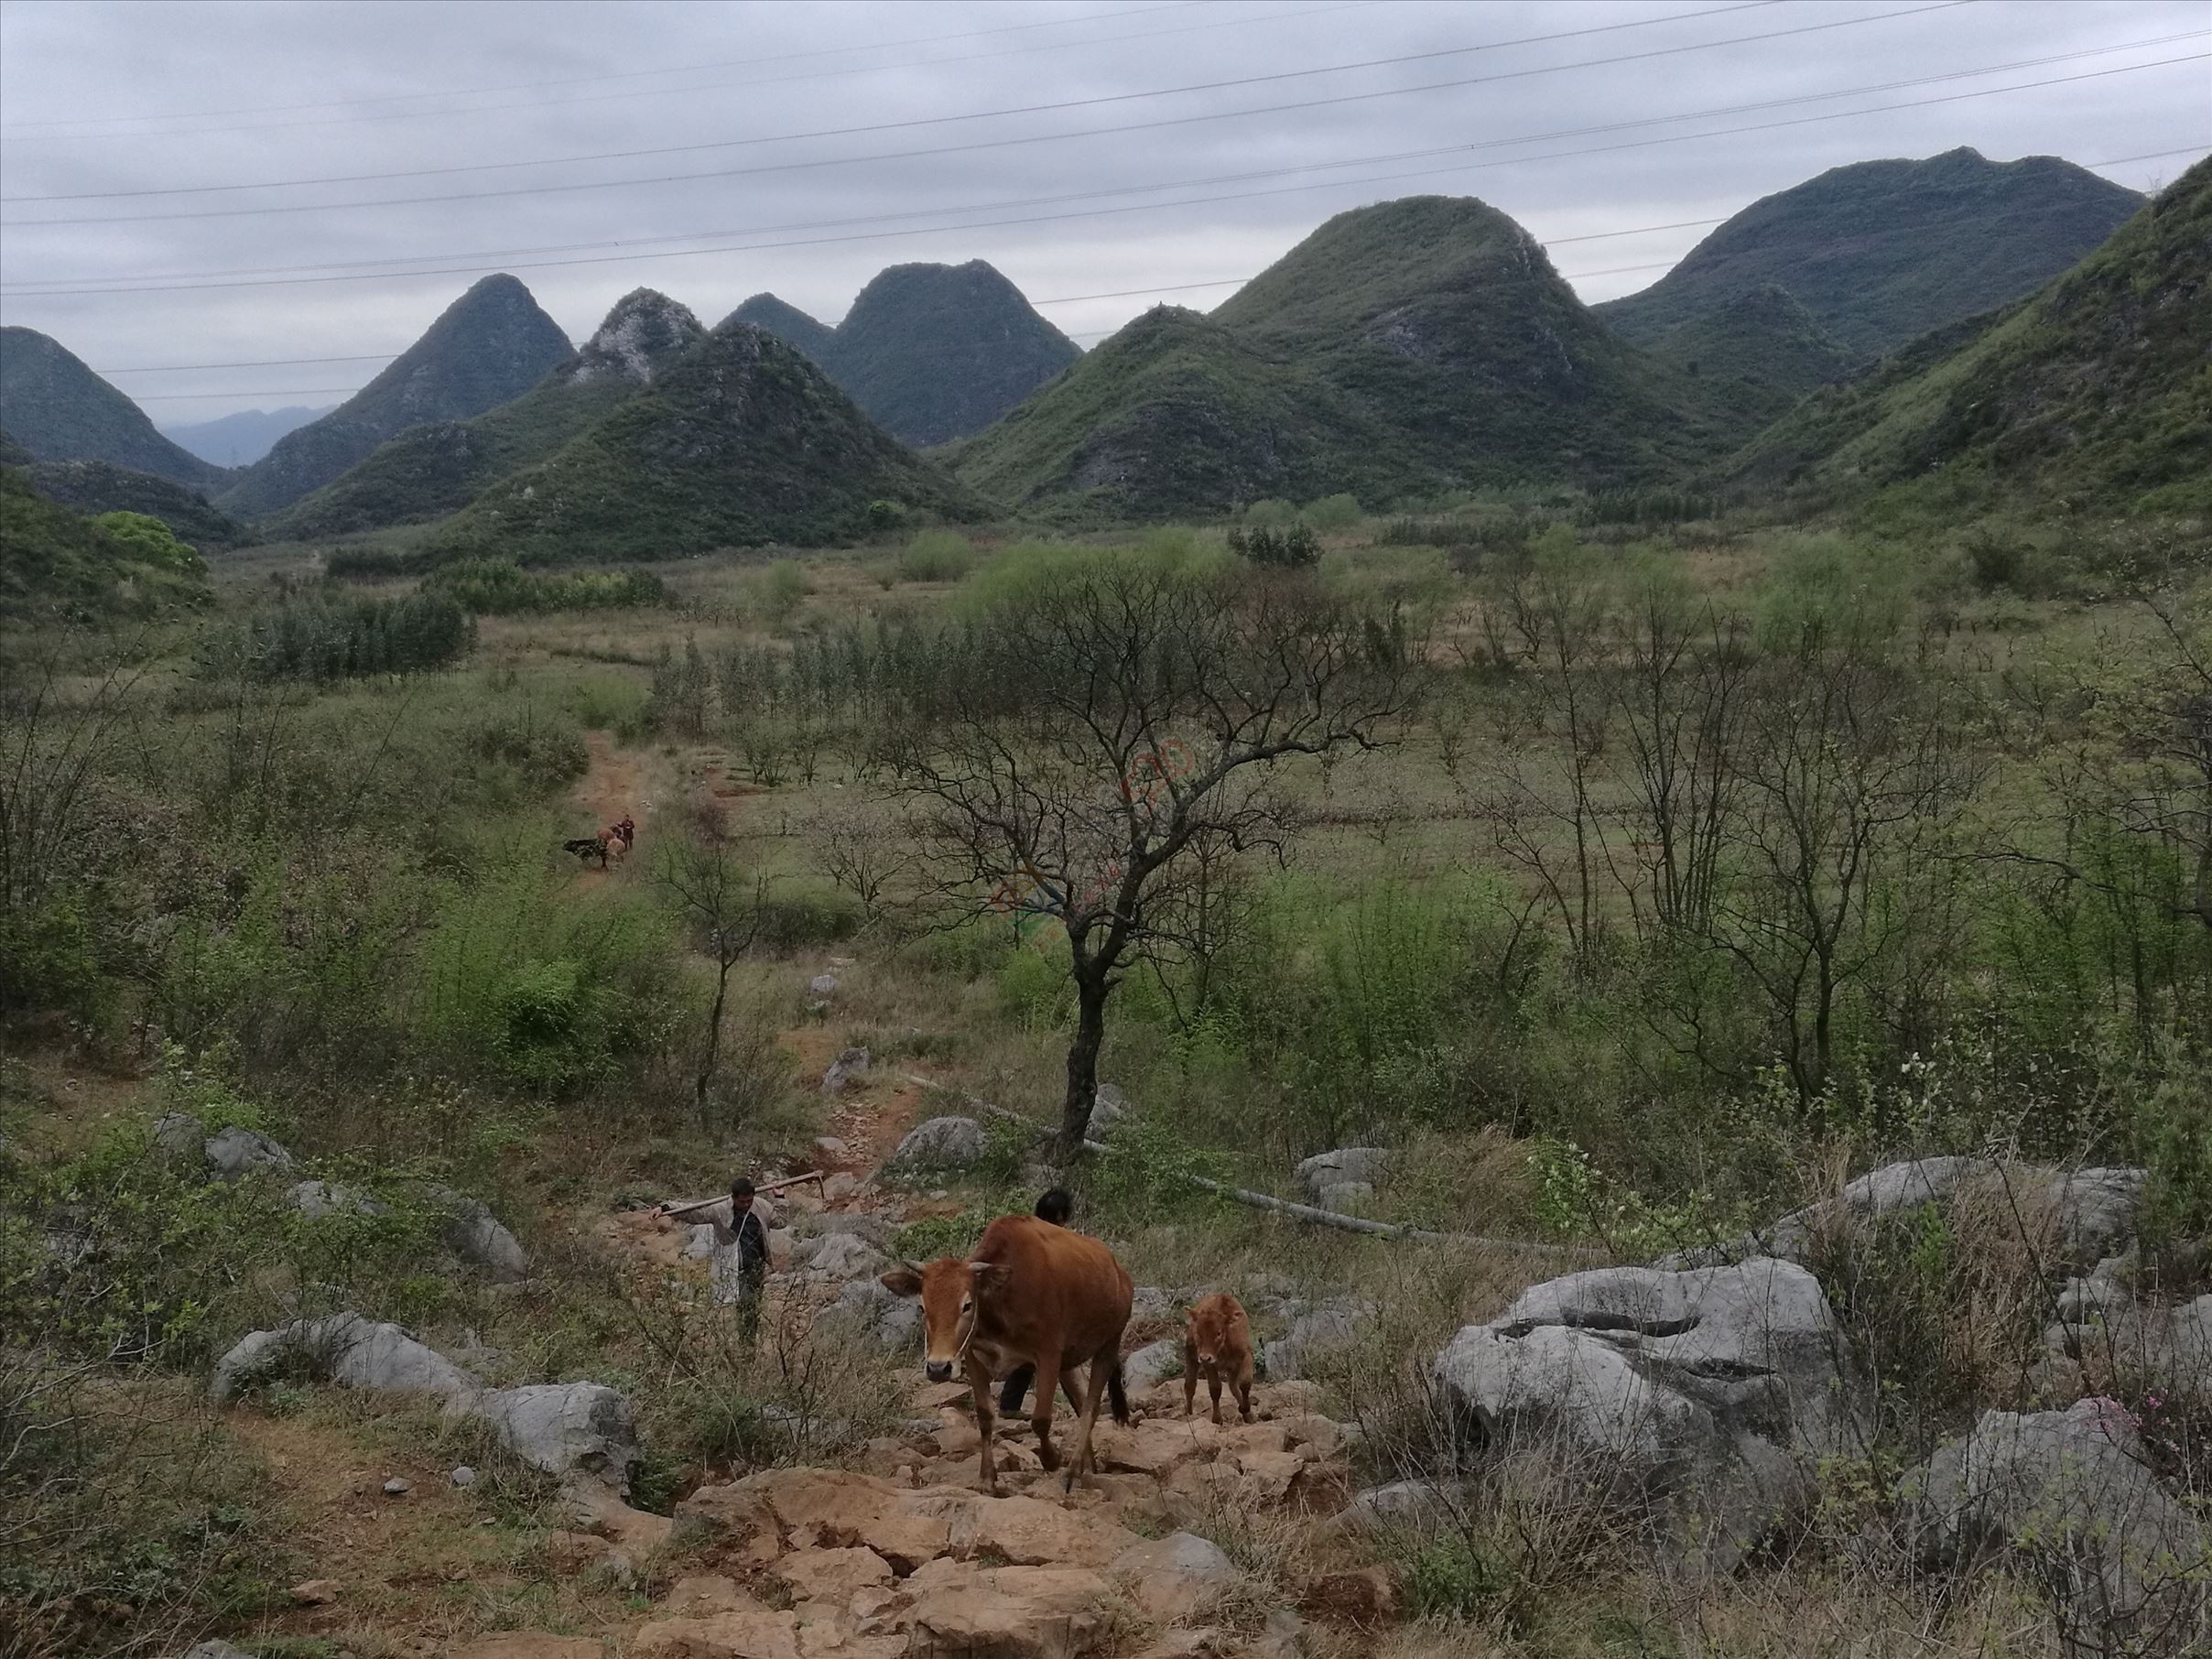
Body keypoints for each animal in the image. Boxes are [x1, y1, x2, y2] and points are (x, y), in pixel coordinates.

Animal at [875, 1211, 1132, 1503]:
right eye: (922, 1307)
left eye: (967, 1305)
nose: (938, 1368)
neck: (1002, 1299)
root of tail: (1119, 1273)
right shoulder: (973, 1356)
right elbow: (985, 1417)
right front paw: (987, 1479)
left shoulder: (1048, 1356)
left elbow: (1041, 1419)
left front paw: (1052, 1459)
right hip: (1070, 1362)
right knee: (1080, 1401)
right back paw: (1087, 1466)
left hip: (1108, 1346)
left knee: (1091, 1407)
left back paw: (1072, 1471)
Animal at [1185, 1300, 1256, 1433]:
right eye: (1198, 1333)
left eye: (1218, 1332)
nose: (1205, 1357)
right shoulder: (1209, 1364)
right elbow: (1215, 1389)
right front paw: (1217, 1419)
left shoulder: (1246, 1356)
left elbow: (1245, 1383)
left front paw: (1245, 1409)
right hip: (1191, 1356)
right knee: (1190, 1385)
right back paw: (1188, 1412)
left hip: (1233, 1368)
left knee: (1233, 1386)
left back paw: (1248, 1415)